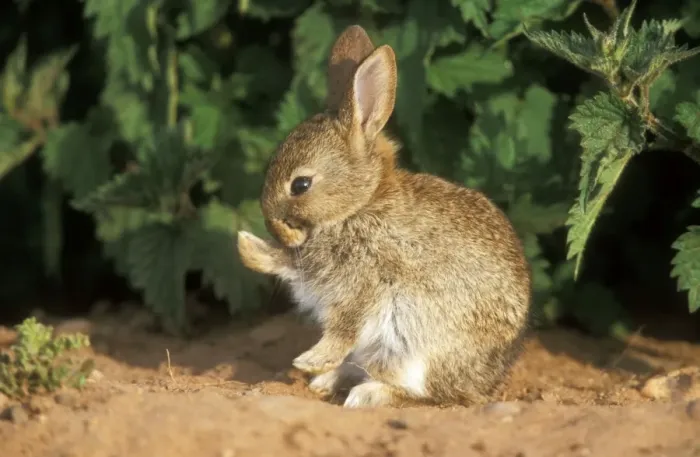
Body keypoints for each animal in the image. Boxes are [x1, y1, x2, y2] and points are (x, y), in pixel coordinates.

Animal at [236, 25, 532, 408]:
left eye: (300, 185)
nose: (274, 226)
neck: (358, 206)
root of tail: (488, 384)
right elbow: (284, 265)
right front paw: (246, 246)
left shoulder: (367, 283)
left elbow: (344, 326)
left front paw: (309, 360)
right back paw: (328, 382)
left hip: (416, 353)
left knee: (426, 395)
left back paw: (362, 394)